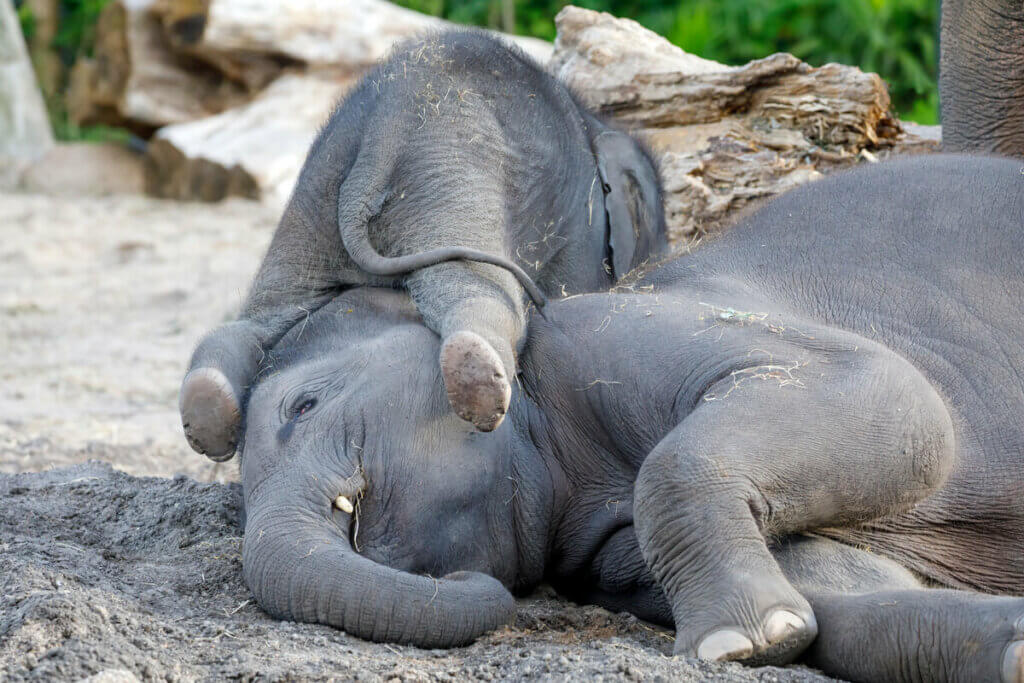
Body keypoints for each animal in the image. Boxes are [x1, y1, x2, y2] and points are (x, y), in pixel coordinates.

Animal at [178, 30, 666, 461]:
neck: (595, 124)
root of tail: (383, 130)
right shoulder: (578, 222)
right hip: (451, 181)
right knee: (478, 293)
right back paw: (483, 387)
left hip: (316, 192)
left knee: (265, 315)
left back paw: (206, 403)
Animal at [237, 153, 1024, 683]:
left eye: (302, 406)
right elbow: (843, 592)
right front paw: (776, 631)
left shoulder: (619, 332)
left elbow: (899, 400)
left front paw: (738, 642)